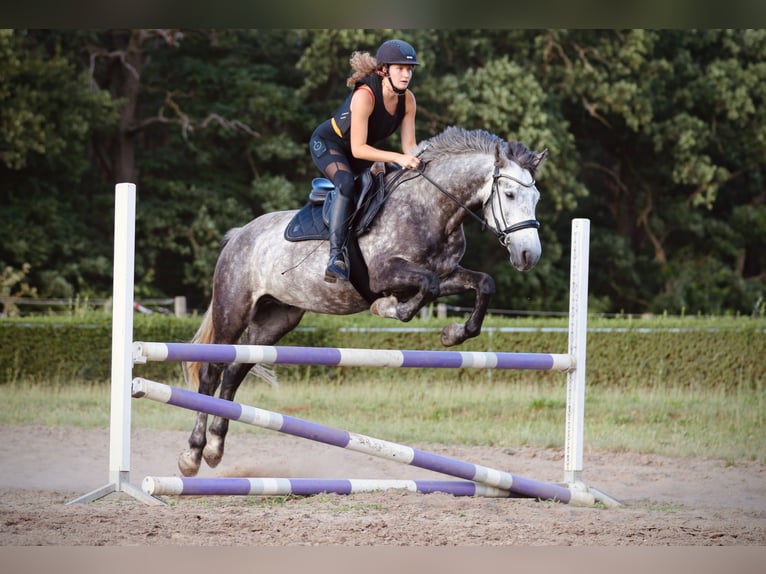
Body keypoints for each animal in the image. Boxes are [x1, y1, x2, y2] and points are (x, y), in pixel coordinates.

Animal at [179, 126, 547, 476]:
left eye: (536, 197)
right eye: (509, 194)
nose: (528, 256)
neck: (431, 208)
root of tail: (238, 235)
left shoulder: (447, 274)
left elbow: (483, 284)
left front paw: (452, 334)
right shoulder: (384, 275)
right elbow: (422, 289)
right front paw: (388, 308)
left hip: (275, 320)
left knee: (234, 371)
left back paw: (215, 449)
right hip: (233, 310)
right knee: (211, 372)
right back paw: (193, 455)